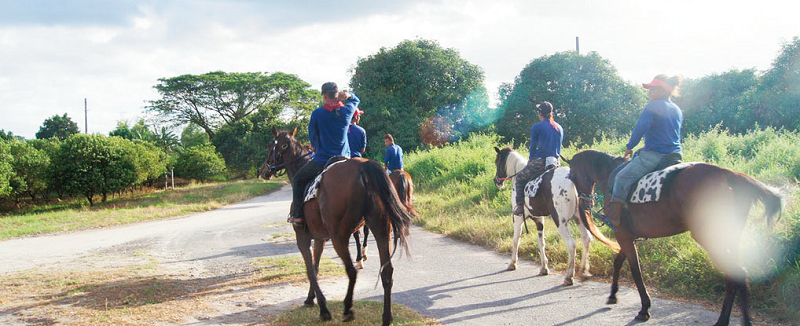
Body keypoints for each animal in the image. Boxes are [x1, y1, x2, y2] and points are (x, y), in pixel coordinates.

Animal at [264, 126, 412, 324]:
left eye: (271, 145)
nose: (263, 170)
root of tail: (363, 167)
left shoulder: (302, 237)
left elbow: (310, 270)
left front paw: (323, 308)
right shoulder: (320, 239)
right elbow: (316, 266)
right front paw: (311, 298)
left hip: (339, 237)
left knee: (351, 271)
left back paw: (348, 308)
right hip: (381, 229)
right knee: (387, 272)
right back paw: (386, 317)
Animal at [490, 148, 616, 286]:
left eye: (497, 161)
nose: (496, 181)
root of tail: (573, 180)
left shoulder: (518, 218)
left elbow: (515, 240)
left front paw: (512, 263)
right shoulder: (539, 219)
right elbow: (541, 242)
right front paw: (544, 268)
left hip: (560, 221)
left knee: (571, 244)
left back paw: (569, 277)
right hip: (579, 218)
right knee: (587, 239)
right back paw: (583, 271)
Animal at [564, 149, 784, 324]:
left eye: (572, 176)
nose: (583, 202)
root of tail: (730, 176)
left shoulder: (623, 235)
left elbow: (635, 270)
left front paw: (644, 308)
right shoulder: (628, 236)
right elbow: (619, 262)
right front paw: (612, 295)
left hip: (710, 237)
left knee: (735, 274)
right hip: (729, 238)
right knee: (737, 275)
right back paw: (732, 320)